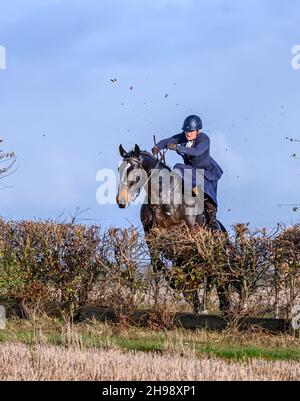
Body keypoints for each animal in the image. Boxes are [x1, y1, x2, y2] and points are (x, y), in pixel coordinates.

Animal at [116, 142, 231, 314]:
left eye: (134, 170)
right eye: (120, 169)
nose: (121, 201)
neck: (163, 199)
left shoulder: (185, 235)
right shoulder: (150, 237)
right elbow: (158, 263)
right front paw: (174, 281)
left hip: (216, 256)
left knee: (219, 282)